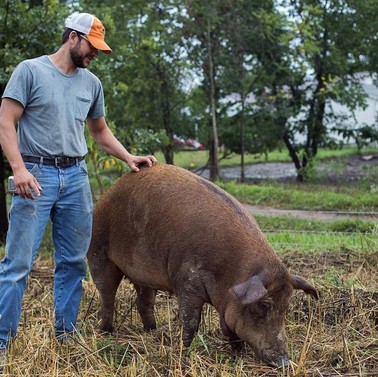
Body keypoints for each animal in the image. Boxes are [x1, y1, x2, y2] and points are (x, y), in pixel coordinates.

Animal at [87, 163, 318, 366]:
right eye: (263, 305)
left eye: (286, 306)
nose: (284, 362)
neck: (230, 273)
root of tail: (107, 194)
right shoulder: (187, 281)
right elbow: (190, 321)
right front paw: (185, 351)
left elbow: (231, 328)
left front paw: (238, 352)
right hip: (99, 252)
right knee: (107, 296)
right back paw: (106, 332)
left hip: (143, 276)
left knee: (143, 302)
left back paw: (152, 331)